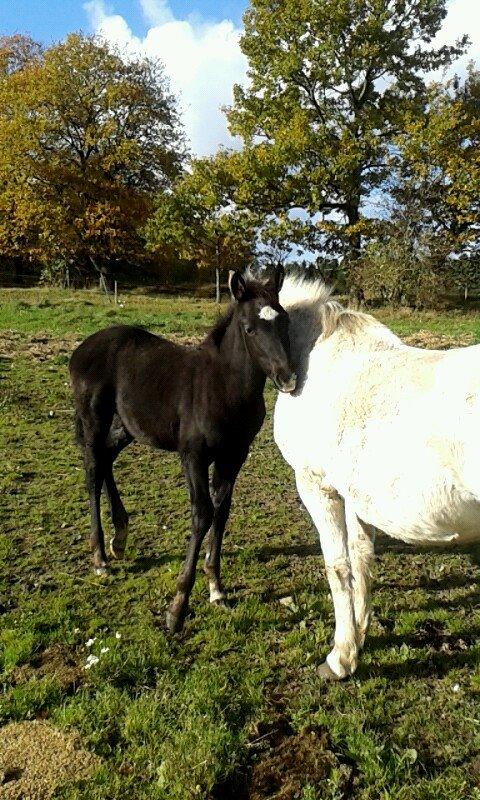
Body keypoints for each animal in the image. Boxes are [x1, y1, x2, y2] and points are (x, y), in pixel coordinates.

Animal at [69, 268, 294, 632]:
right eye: (249, 328)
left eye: (284, 321)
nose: (288, 378)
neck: (224, 386)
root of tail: (82, 348)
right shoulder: (194, 455)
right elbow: (202, 513)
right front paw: (177, 608)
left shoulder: (235, 455)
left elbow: (222, 511)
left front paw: (216, 588)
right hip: (94, 418)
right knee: (92, 469)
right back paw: (100, 557)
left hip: (129, 426)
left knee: (105, 458)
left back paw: (120, 536)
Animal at [274, 276, 480, 680]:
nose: (284, 381)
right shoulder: (354, 494)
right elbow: (360, 558)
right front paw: (359, 637)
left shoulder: (317, 486)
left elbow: (337, 568)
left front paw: (339, 659)